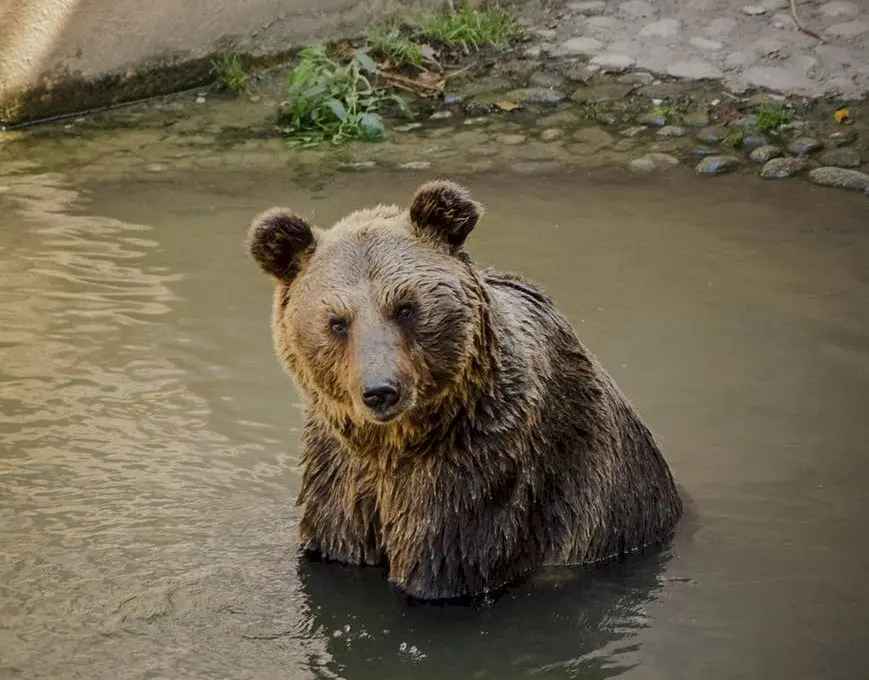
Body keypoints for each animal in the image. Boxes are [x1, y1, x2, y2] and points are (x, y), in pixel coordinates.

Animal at [244, 179, 680, 600]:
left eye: (405, 306)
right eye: (337, 321)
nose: (381, 390)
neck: (393, 444)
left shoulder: (483, 470)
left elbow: (444, 562)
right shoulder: (338, 473)